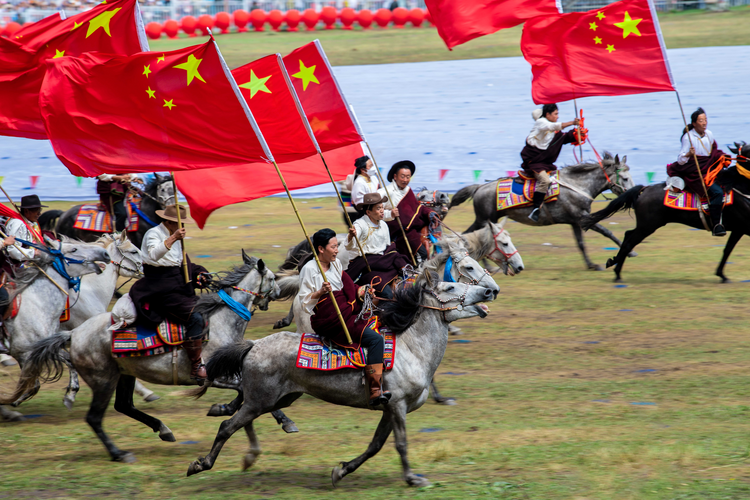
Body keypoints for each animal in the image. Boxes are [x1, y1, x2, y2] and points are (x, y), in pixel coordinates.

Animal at [185, 274, 496, 488]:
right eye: (449, 288)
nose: (488, 290)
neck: (412, 348)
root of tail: (252, 345)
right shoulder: (398, 407)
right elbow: (401, 444)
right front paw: (412, 478)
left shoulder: (388, 408)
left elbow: (375, 446)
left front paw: (341, 470)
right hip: (260, 400)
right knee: (228, 427)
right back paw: (200, 464)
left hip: (274, 399)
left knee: (239, 417)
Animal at [452, 154, 636, 270]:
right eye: (625, 178)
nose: (633, 196)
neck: (577, 185)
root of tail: (479, 187)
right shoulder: (582, 218)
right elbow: (607, 231)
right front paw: (630, 251)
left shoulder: (575, 221)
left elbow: (581, 244)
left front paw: (591, 265)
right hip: (485, 219)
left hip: (483, 219)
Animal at [588, 143, 750, 284]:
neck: (740, 187)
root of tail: (644, 189)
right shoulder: (744, 227)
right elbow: (728, 249)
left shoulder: (739, 229)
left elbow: (727, 250)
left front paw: (721, 274)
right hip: (647, 226)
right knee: (629, 242)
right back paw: (616, 271)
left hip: (646, 226)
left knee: (628, 236)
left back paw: (615, 265)